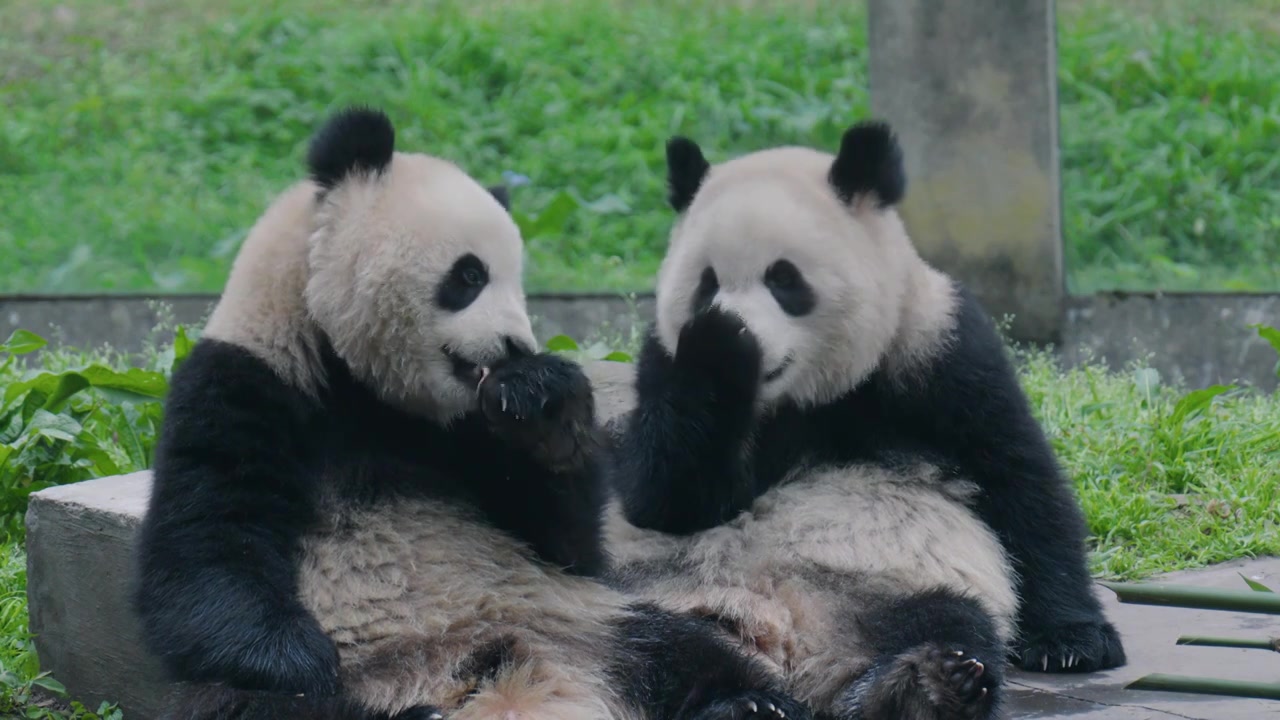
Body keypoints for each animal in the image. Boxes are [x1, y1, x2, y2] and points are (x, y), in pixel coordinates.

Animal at [129, 105, 808, 717]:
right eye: (470, 275)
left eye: (519, 283)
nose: (515, 347)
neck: (365, 386)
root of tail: (526, 680)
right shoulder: (247, 381)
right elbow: (207, 551)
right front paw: (300, 661)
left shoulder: (467, 430)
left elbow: (569, 544)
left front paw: (546, 408)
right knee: (250, 705)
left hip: (583, 617)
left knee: (683, 649)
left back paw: (748, 704)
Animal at [604, 120, 1126, 712]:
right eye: (707, 283)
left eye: (783, 278)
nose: (745, 334)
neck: (803, 397)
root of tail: (788, 641)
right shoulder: (662, 363)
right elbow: (665, 499)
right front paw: (716, 347)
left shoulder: (937, 346)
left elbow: (1016, 480)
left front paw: (1071, 641)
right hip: (653, 590)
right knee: (652, 643)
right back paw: (744, 701)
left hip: (885, 589)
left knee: (947, 619)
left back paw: (926, 686)